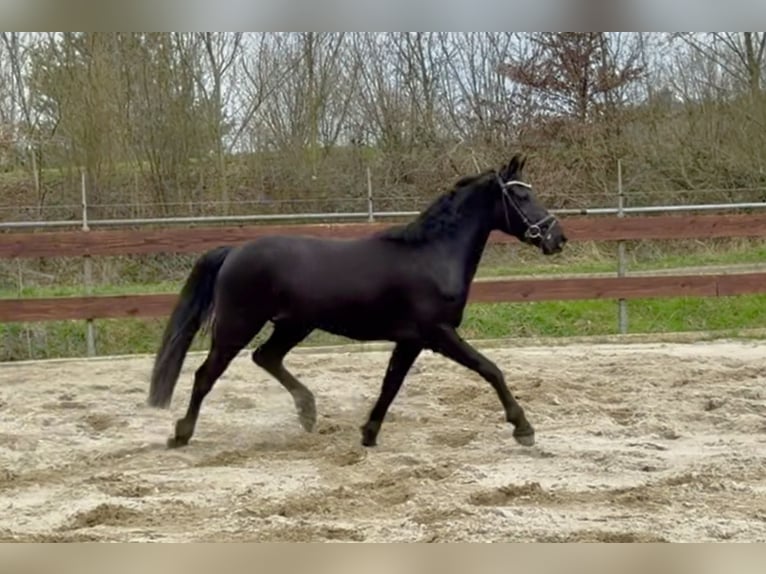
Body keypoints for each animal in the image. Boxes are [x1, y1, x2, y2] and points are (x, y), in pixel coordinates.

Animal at [147, 154, 567, 450]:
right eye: (522, 195)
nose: (557, 238)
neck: (432, 255)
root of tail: (234, 251)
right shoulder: (438, 333)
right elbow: (490, 369)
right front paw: (523, 428)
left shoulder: (411, 340)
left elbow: (390, 385)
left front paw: (368, 433)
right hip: (238, 326)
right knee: (206, 375)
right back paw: (181, 434)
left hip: (294, 324)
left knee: (266, 357)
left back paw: (308, 411)